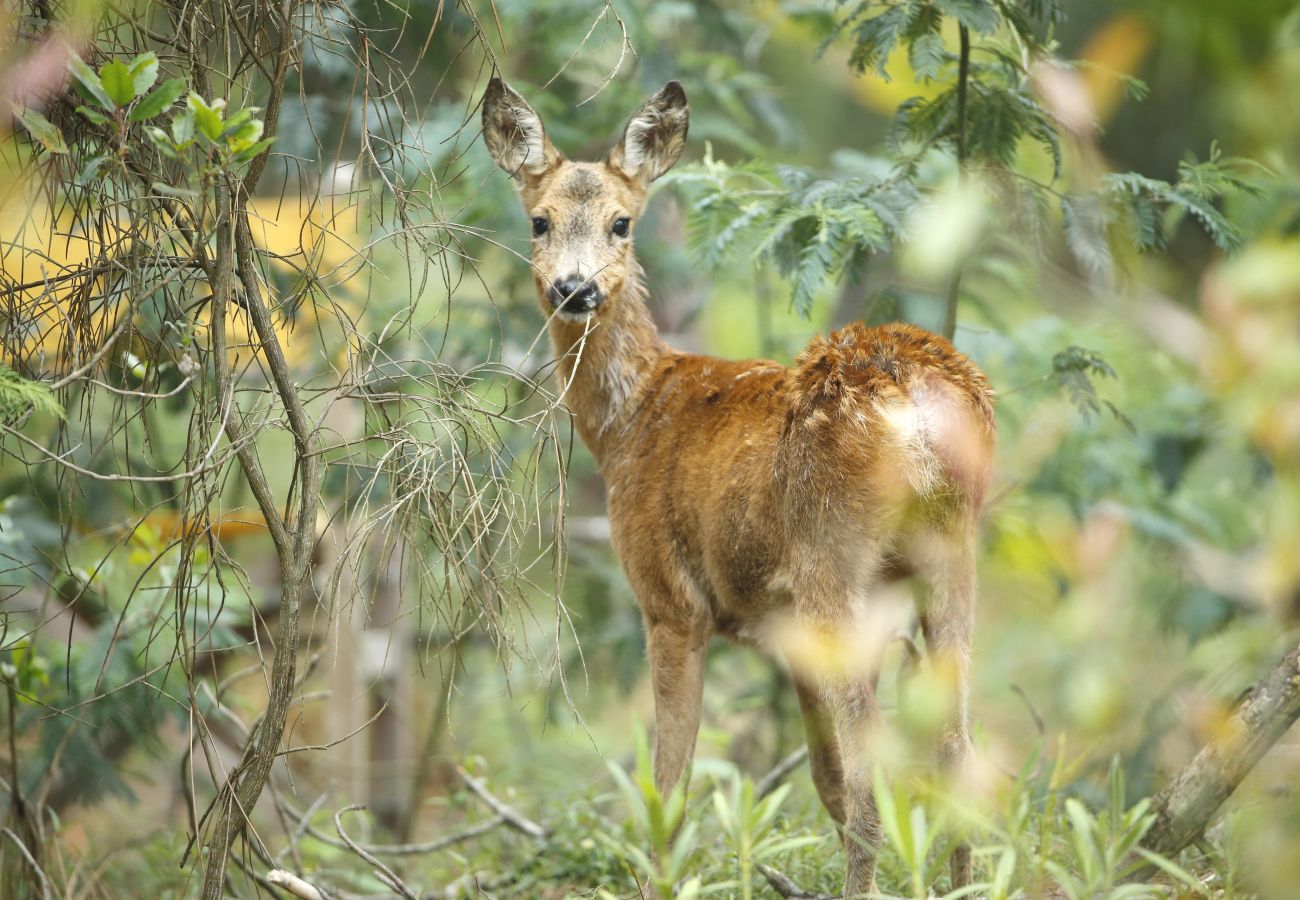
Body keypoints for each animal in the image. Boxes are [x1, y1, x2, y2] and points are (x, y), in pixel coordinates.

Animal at [483, 75, 998, 894]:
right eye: (539, 220)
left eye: (622, 222)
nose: (574, 289)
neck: (632, 420)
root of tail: (913, 406)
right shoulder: (781, 634)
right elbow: (820, 775)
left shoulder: (670, 599)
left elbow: (669, 784)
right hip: (950, 554)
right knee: (953, 755)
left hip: (832, 561)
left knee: (873, 784)